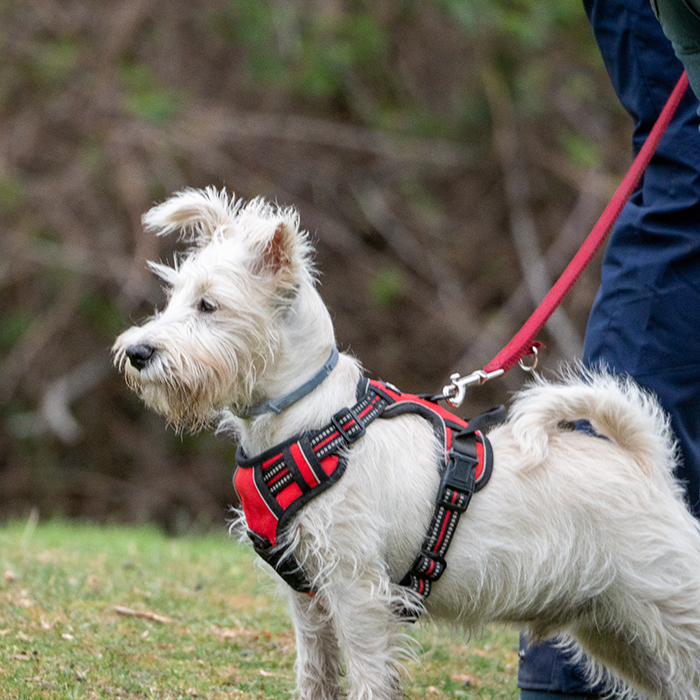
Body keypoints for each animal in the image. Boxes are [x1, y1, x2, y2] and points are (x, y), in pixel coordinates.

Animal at [115, 186, 700, 700]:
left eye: (209, 306)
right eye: (174, 297)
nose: (137, 353)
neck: (308, 419)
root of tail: (645, 463)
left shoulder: (357, 590)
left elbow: (369, 675)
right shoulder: (308, 599)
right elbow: (315, 674)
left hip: (672, 615)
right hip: (618, 632)